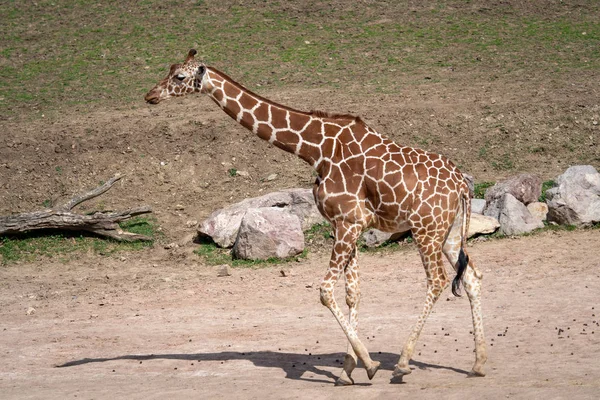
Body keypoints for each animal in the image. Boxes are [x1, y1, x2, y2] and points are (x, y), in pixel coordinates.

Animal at [145, 49, 488, 384]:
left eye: (179, 76)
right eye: (170, 68)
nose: (150, 95)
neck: (315, 150)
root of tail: (461, 184)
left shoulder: (348, 222)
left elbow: (325, 291)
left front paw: (369, 364)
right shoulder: (348, 224)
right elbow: (352, 293)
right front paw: (349, 369)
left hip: (426, 230)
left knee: (437, 281)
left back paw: (403, 364)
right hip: (450, 232)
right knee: (472, 277)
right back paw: (478, 363)